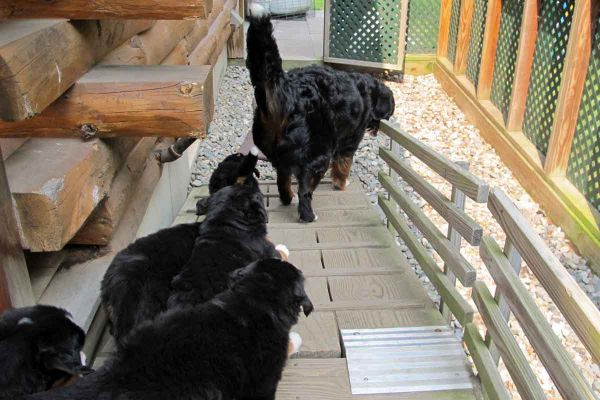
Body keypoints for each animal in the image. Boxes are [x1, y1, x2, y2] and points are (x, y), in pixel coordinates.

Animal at [246, 3, 396, 222]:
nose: (376, 129)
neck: (367, 91)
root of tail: (287, 89)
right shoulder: (348, 143)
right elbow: (342, 166)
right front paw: (341, 184)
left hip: (278, 154)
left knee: (283, 181)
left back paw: (287, 198)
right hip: (319, 155)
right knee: (304, 191)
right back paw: (309, 215)